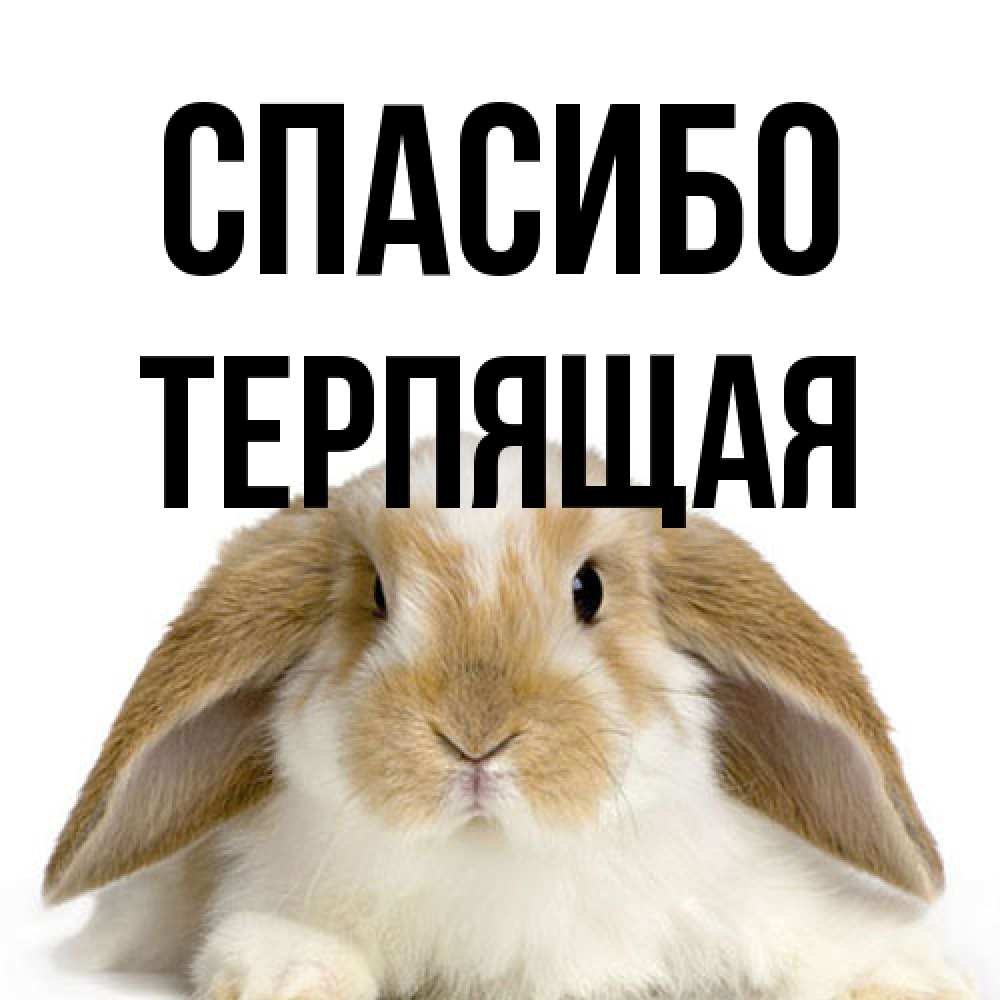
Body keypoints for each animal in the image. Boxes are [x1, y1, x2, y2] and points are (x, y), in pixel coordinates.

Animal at [45, 436, 975, 1000]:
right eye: (376, 596)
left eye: (589, 589)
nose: (475, 737)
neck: (495, 857)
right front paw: (290, 976)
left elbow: (817, 939)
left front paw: (909, 978)